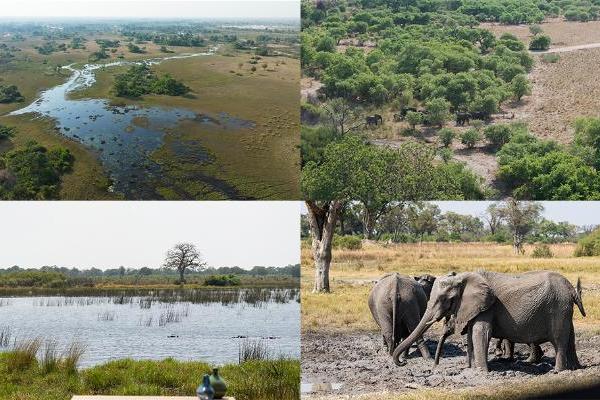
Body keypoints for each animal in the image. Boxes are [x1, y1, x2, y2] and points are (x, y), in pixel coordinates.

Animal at [392, 270, 584, 370]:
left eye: (445, 300)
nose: (402, 362)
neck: (464, 278)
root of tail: (570, 288)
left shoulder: (488, 306)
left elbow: (480, 332)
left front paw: (482, 372)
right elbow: (472, 334)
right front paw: (471, 369)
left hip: (558, 307)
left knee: (559, 340)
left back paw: (558, 371)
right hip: (564, 310)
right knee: (570, 338)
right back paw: (575, 368)